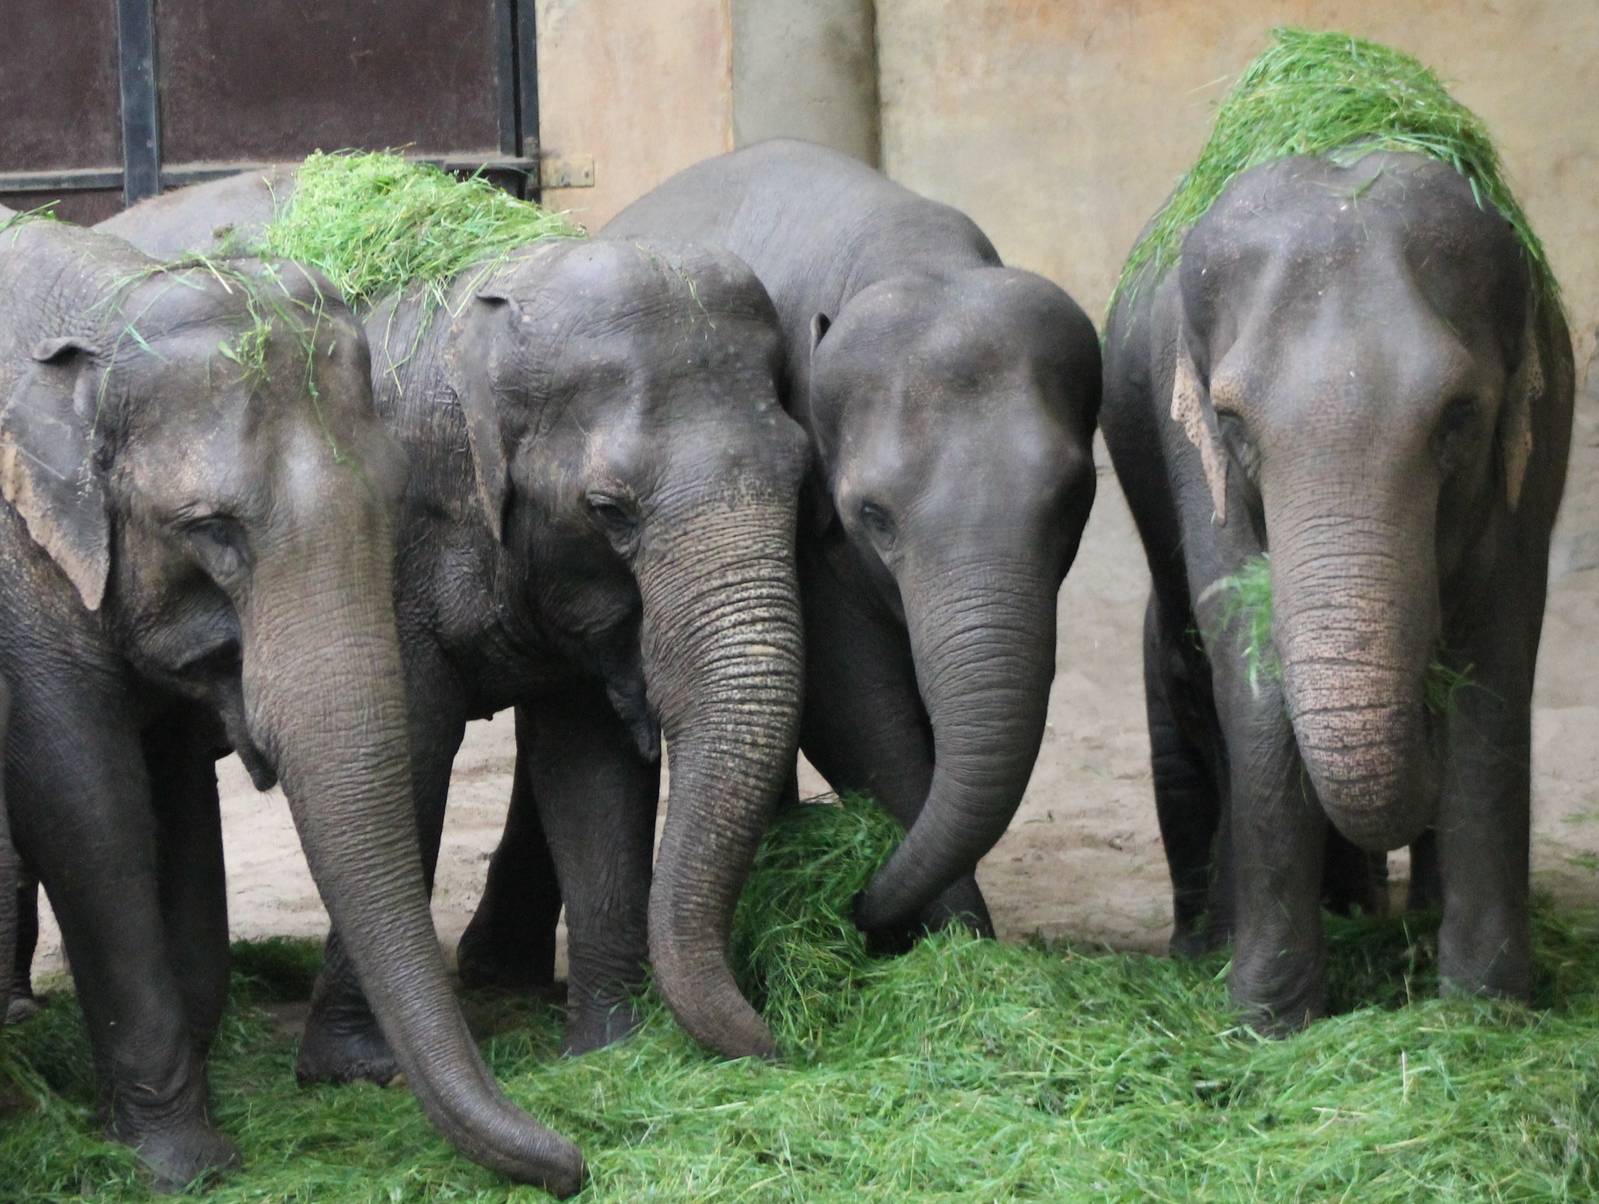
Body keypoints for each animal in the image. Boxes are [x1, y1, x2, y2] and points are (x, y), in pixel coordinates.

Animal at [0, 207, 582, 1193]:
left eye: (395, 499)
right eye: (209, 529)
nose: (576, 1163)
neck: (104, 309)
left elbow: (178, 803)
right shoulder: (20, 576)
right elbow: (88, 811)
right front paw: (184, 1169)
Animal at [101, 168, 812, 1068]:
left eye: (802, 472)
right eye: (610, 510)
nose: (783, 1043)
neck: (499, 277)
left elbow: (589, 769)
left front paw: (609, 1052)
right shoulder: (390, 546)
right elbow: (411, 752)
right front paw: (355, 1070)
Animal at [463, 138, 1102, 960]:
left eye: (1073, 500)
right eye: (872, 515)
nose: (859, 903)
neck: (909, 254)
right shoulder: (807, 526)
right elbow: (850, 704)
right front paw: (953, 944)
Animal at [1100, 151, 1574, 1030]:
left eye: (1459, 417)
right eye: (1232, 423)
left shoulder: (1545, 426)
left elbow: (1493, 668)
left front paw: (1483, 1014)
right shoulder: (1190, 457)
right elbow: (1249, 677)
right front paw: (1265, 1024)